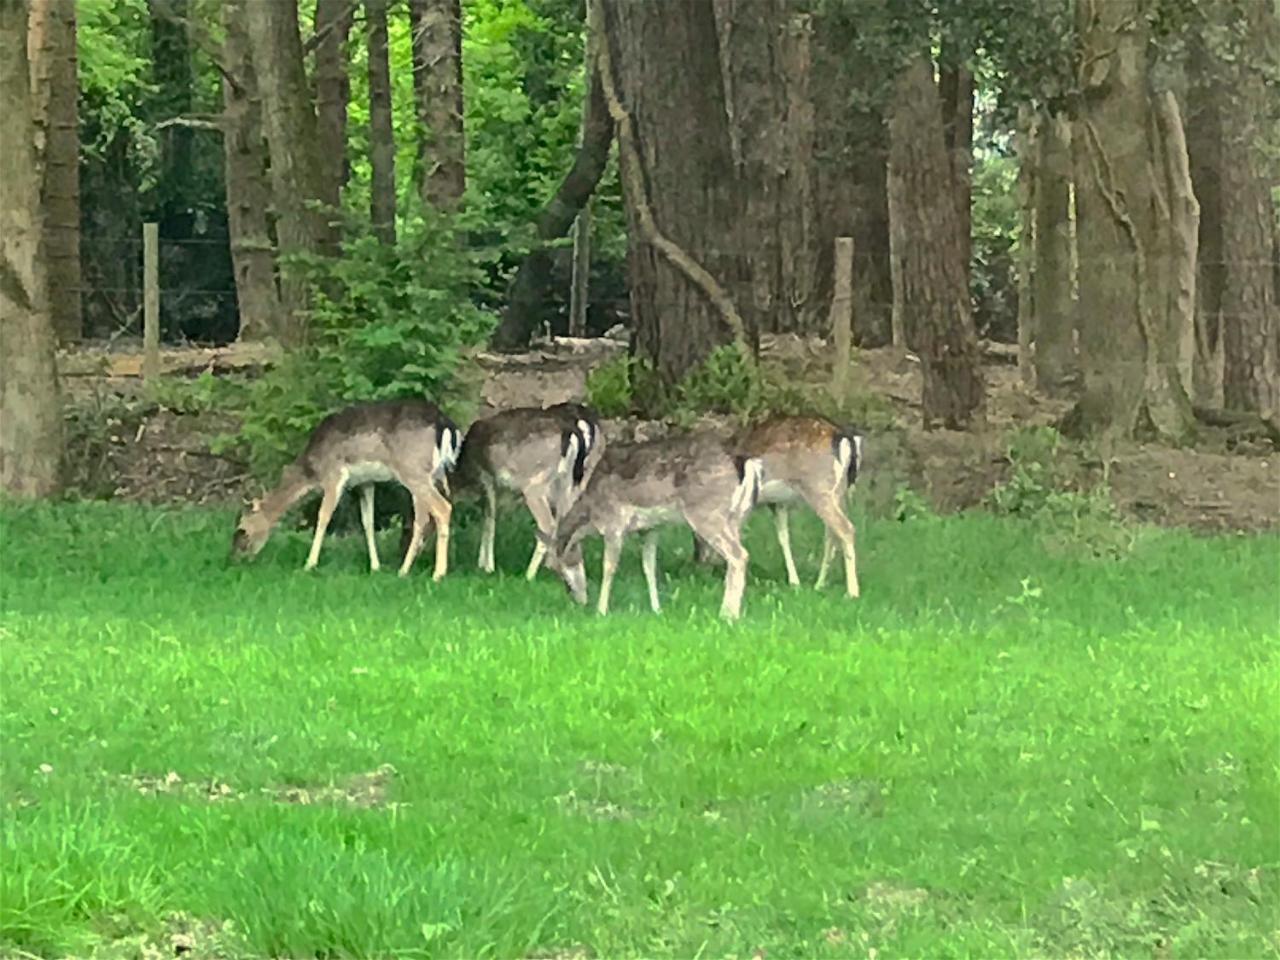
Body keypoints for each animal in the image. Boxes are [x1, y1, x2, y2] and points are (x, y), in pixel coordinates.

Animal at [230, 399, 460, 578]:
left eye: (242, 530)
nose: (237, 558)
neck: (313, 469)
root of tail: (446, 425)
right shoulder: (365, 482)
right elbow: (368, 521)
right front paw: (375, 567)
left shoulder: (334, 474)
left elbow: (323, 516)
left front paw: (309, 565)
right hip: (435, 475)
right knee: (425, 516)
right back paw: (406, 570)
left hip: (413, 470)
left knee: (441, 509)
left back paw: (435, 574)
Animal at [445, 399, 604, 578]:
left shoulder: (487, 477)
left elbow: (489, 517)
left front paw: (487, 566)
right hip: (571, 482)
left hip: (535, 484)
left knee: (547, 524)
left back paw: (529, 574)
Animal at [537, 435, 757, 624]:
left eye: (558, 568)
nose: (578, 601)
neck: (591, 513)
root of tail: (744, 466)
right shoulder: (651, 529)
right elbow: (649, 566)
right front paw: (657, 609)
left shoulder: (614, 522)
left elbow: (608, 567)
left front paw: (601, 611)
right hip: (734, 517)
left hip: (706, 512)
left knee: (739, 555)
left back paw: (727, 615)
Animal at [696, 417, 865, 599]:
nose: (697, 560)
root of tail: (845, 437)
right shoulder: (778, 503)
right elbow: (783, 537)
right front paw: (794, 582)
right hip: (840, 491)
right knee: (831, 535)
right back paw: (819, 584)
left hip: (818, 488)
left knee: (845, 529)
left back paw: (852, 592)